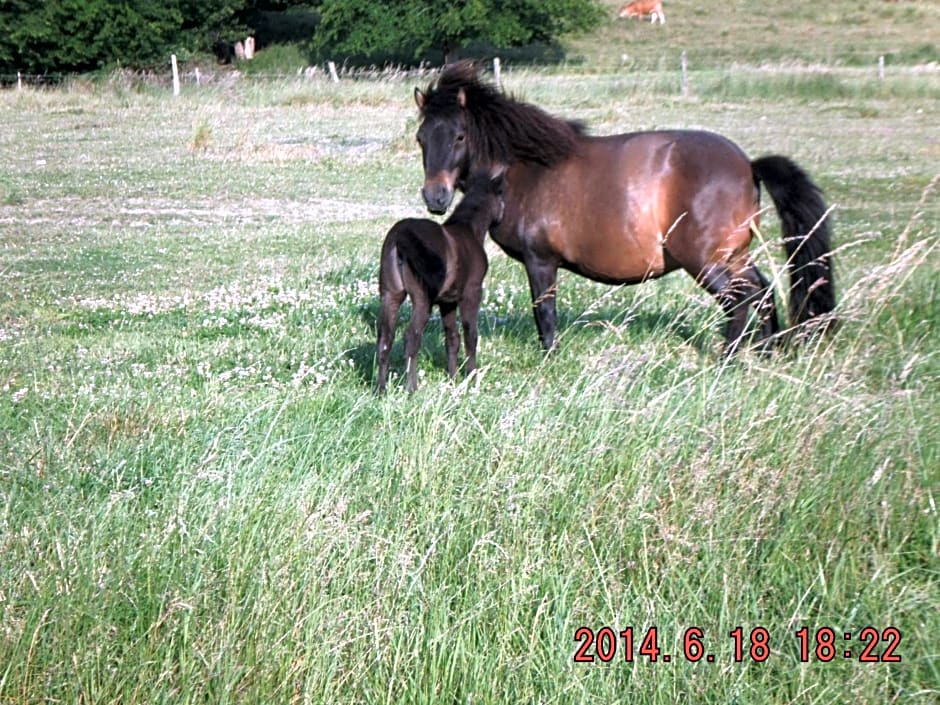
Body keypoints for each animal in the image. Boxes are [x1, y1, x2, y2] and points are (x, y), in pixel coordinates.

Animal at [376, 168, 504, 394]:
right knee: (411, 337)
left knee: (385, 339)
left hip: (390, 294)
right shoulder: (471, 293)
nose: (503, 214)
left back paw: (381, 389)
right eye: (501, 195)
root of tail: (400, 235)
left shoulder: (448, 302)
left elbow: (452, 338)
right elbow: (471, 336)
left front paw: (452, 379)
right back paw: (412, 388)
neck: (469, 230)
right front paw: (472, 377)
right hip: (422, 300)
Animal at [414, 62, 832, 352]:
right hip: (735, 256)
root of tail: (747, 165)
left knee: (739, 300)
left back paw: (727, 356)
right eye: (421, 137)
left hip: (706, 261)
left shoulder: (541, 262)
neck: (525, 168)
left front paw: (549, 356)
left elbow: (544, 314)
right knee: (762, 293)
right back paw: (767, 351)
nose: (435, 196)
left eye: (459, 136)